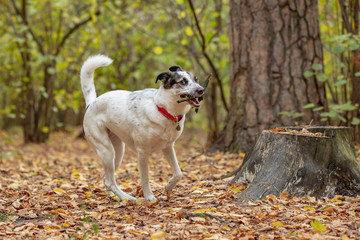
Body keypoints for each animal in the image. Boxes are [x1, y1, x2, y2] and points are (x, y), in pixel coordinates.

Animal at [81, 55, 204, 202]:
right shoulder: (142, 153)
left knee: (106, 179)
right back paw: (127, 198)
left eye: (196, 79)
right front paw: (149, 197)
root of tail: (91, 104)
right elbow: (145, 178)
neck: (162, 109)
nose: (201, 89)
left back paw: (115, 196)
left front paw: (168, 186)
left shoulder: (168, 147)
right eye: (183, 81)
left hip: (117, 153)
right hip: (106, 150)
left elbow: (179, 173)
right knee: (110, 181)